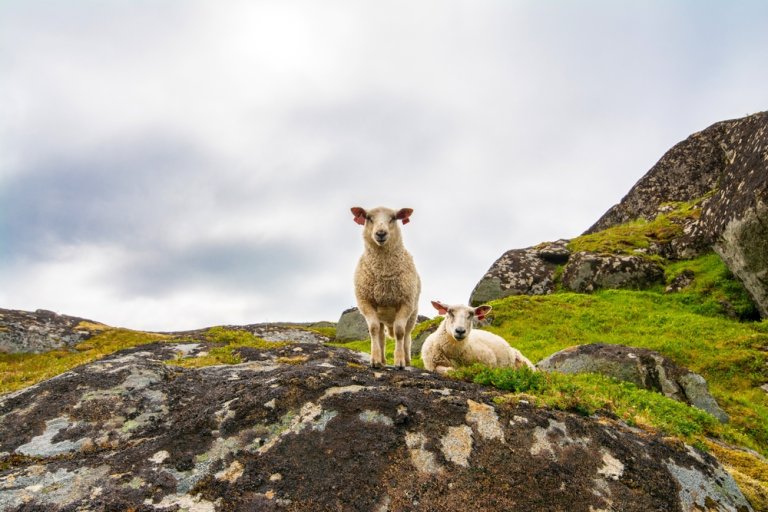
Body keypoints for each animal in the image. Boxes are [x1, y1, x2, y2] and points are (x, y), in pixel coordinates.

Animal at [351, 206, 421, 369]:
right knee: (381, 335)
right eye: (368, 217)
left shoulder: (406, 302)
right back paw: (382, 359)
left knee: (407, 335)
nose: (381, 233)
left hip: (413, 314)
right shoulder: (365, 302)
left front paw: (400, 361)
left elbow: (400, 331)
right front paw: (375, 360)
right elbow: (373, 329)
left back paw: (407, 359)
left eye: (393, 218)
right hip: (381, 314)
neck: (383, 273)